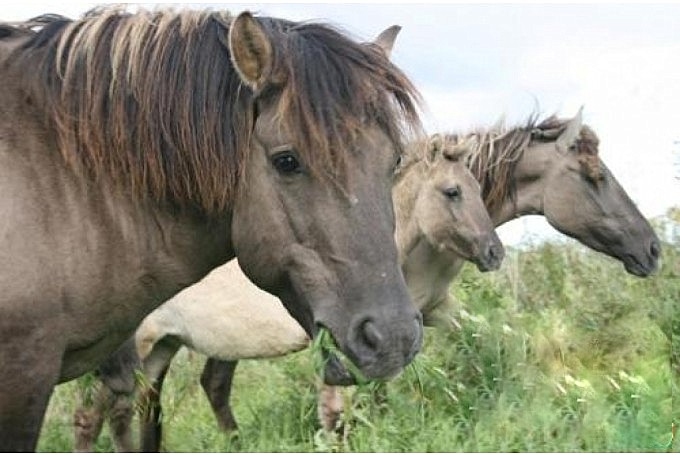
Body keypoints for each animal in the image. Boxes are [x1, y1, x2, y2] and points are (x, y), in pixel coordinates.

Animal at [71, 134, 504, 452]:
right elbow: (335, 410)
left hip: (162, 348)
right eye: (452, 192)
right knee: (92, 418)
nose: (494, 252)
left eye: (476, 188)